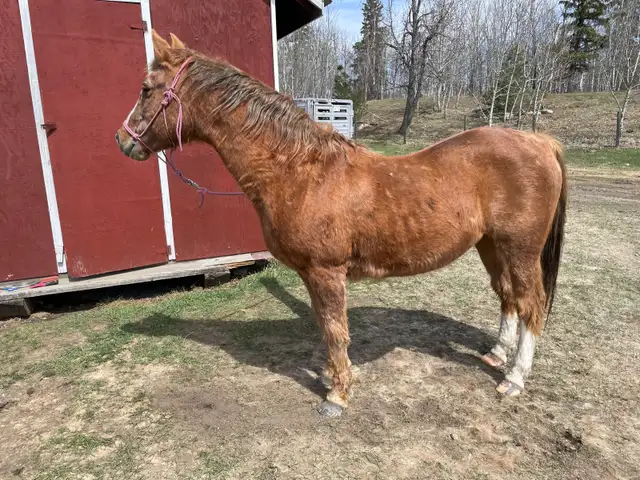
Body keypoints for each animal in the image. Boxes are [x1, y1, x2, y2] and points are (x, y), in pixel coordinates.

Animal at [115, 31, 566, 418]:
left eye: (146, 89)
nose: (122, 141)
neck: (301, 171)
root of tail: (540, 142)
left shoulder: (326, 271)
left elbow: (335, 331)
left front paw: (337, 394)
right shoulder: (310, 275)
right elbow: (325, 327)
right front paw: (337, 376)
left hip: (520, 249)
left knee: (530, 305)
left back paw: (514, 378)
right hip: (491, 245)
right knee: (508, 297)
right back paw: (496, 353)